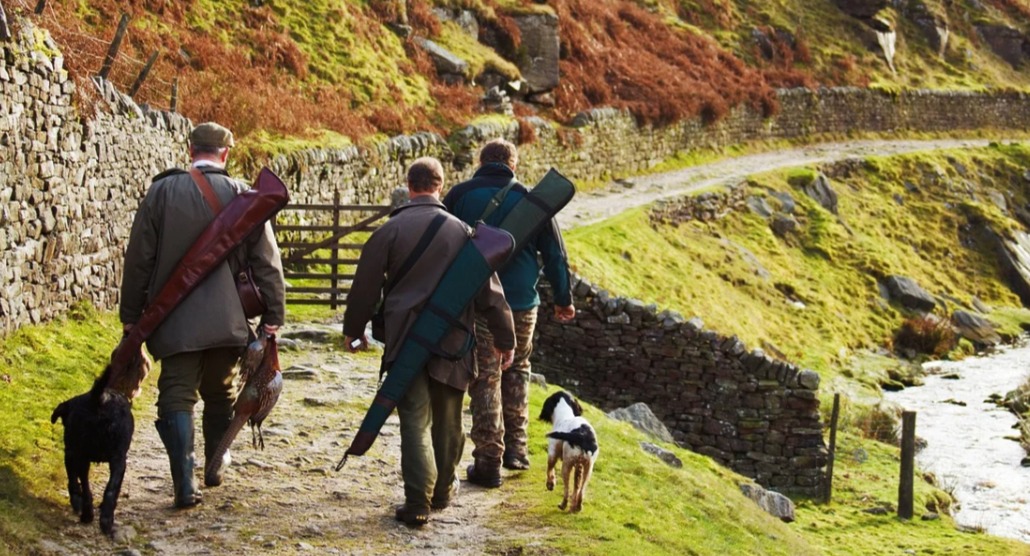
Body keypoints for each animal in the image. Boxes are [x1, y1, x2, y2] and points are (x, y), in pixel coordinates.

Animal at [50, 350, 149, 535]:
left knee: (87, 488)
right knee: (110, 491)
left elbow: (73, 481)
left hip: (81, 454)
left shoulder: (70, 453)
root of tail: (100, 398)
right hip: (117, 460)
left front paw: (76, 500)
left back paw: (88, 514)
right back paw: (105, 520)